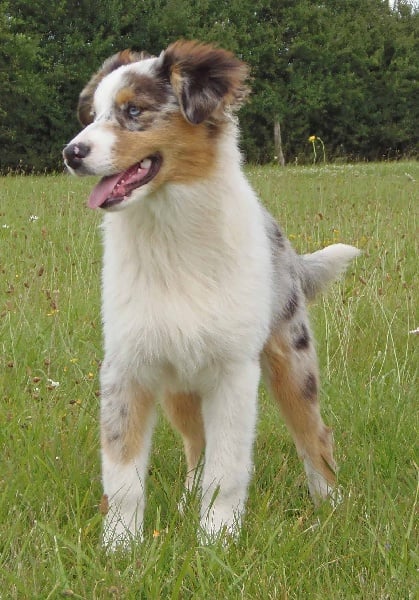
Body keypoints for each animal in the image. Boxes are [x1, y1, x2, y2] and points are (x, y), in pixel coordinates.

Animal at [63, 40, 360, 547]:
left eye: (134, 111)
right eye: (94, 113)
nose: (71, 152)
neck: (168, 234)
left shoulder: (233, 371)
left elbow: (228, 468)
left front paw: (217, 539)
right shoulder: (127, 365)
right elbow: (122, 474)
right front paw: (121, 546)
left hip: (291, 360)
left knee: (315, 434)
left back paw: (331, 503)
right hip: (179, 385)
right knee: (194, 444)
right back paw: (186, 501)